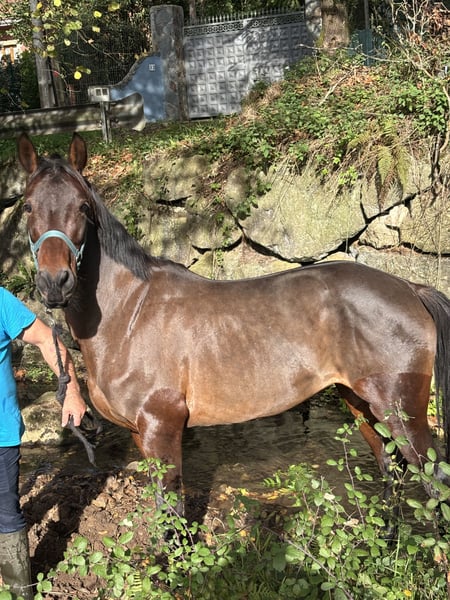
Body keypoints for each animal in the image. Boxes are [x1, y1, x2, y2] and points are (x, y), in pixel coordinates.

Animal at [17, 132, 450, 520]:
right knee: (391, 475)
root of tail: (409, 288)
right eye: (27, 207)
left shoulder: (161, 427)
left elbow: (172, 513)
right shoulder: (141, 434)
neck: (129, 314)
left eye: (82, 207)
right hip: (361, 406)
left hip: (401, 413)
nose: (55, 283)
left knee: (433, 483)